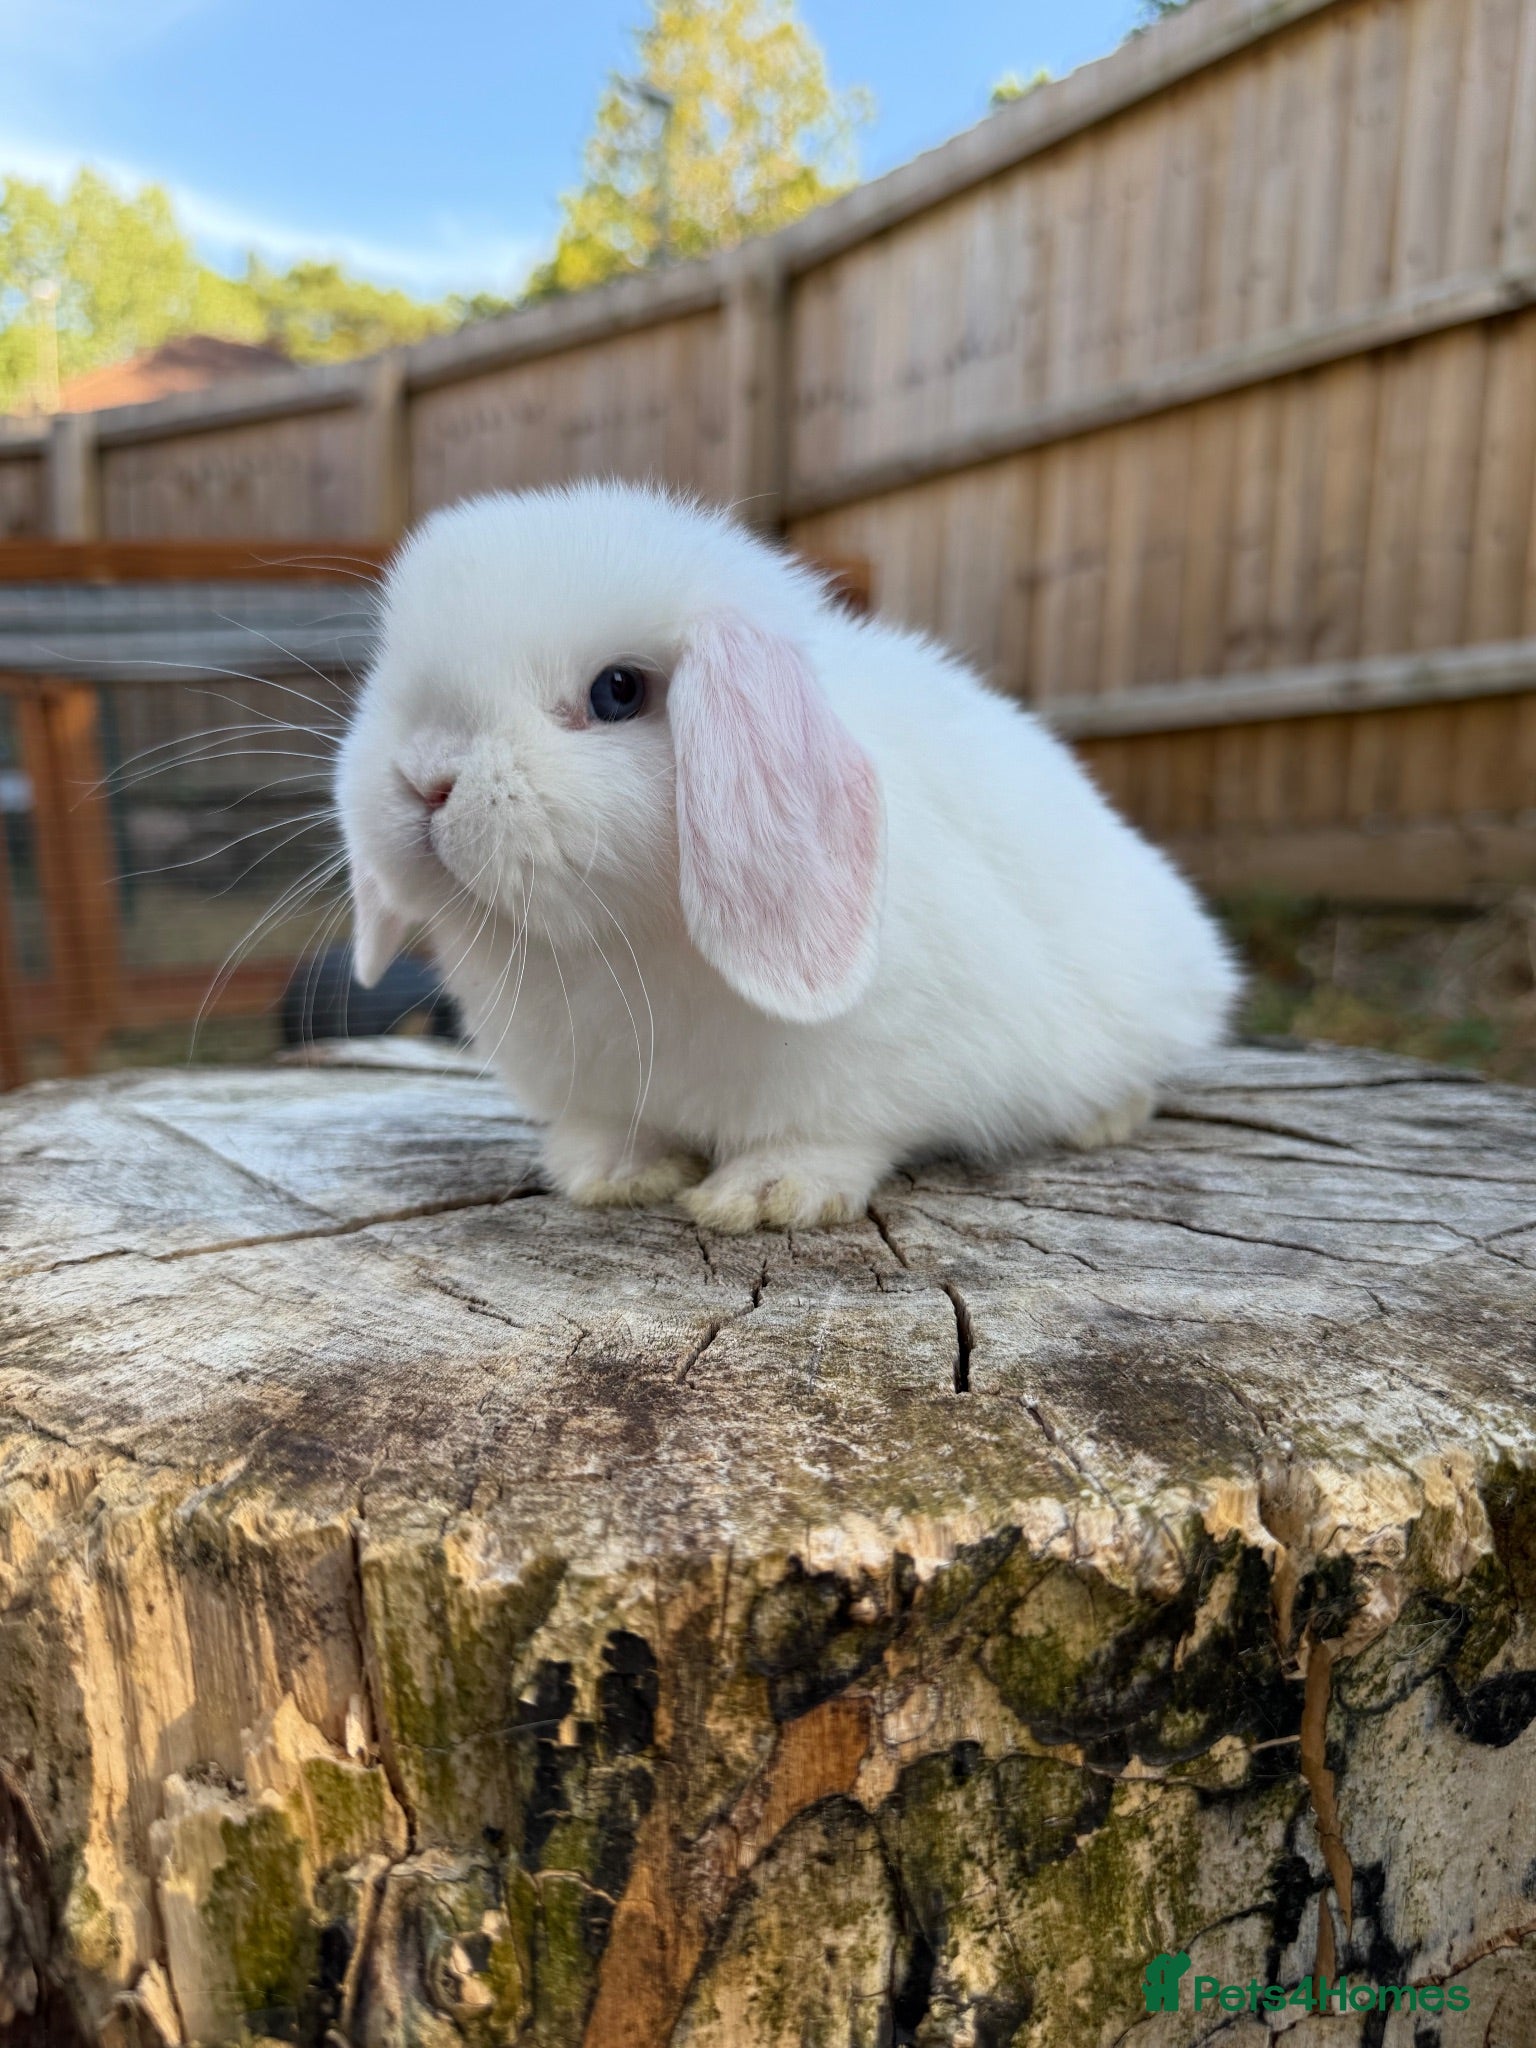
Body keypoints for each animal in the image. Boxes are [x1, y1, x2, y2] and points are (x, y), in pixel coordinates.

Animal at [336, 481, 1238, 1232]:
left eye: (617, 691)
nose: (426, 776)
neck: (614, 950)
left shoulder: (871, 1077)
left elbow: (830, 1137)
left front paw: (763, 1197)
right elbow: (612, 1132)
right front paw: (612, 1174)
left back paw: (1105, 1118)